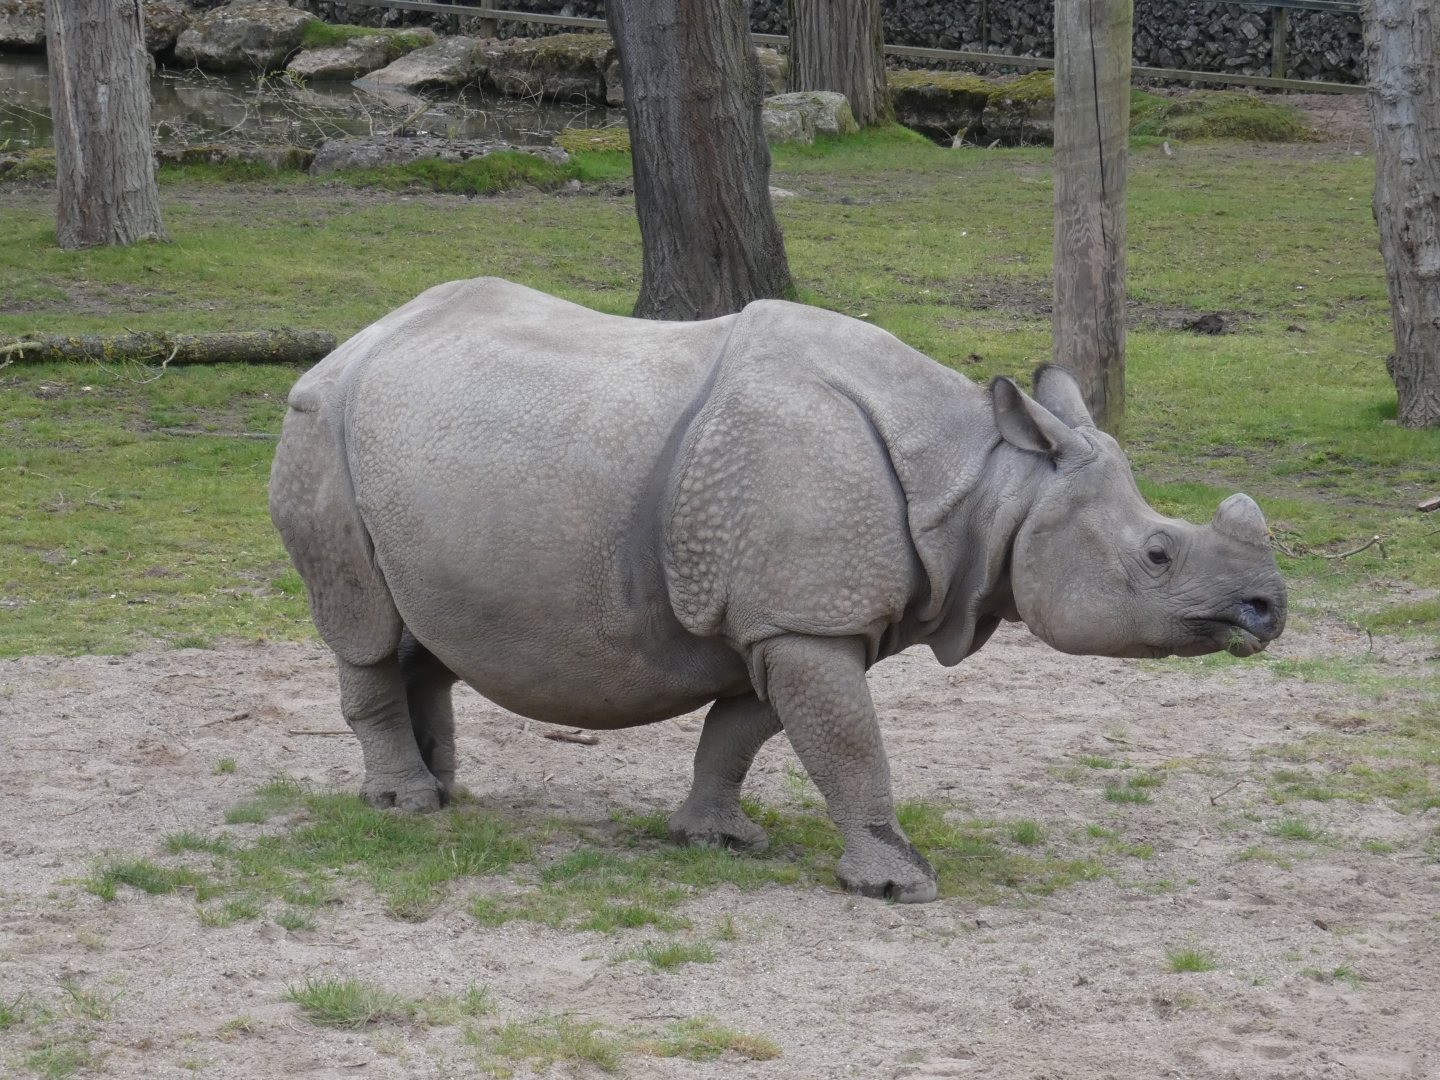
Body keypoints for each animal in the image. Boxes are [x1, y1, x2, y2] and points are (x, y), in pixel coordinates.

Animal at [270, 277, 1285, 903]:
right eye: (1158, 554)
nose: (1270, 609)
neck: (989, 482)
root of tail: (350, 342)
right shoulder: (803, 619)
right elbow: (848, 744)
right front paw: (897, 885)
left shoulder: (791, 621)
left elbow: (747, 731)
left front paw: (717, 840)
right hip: (319, 425)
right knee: (362, 626)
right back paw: (405, 808)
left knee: (421, 629)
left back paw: (445, 791)